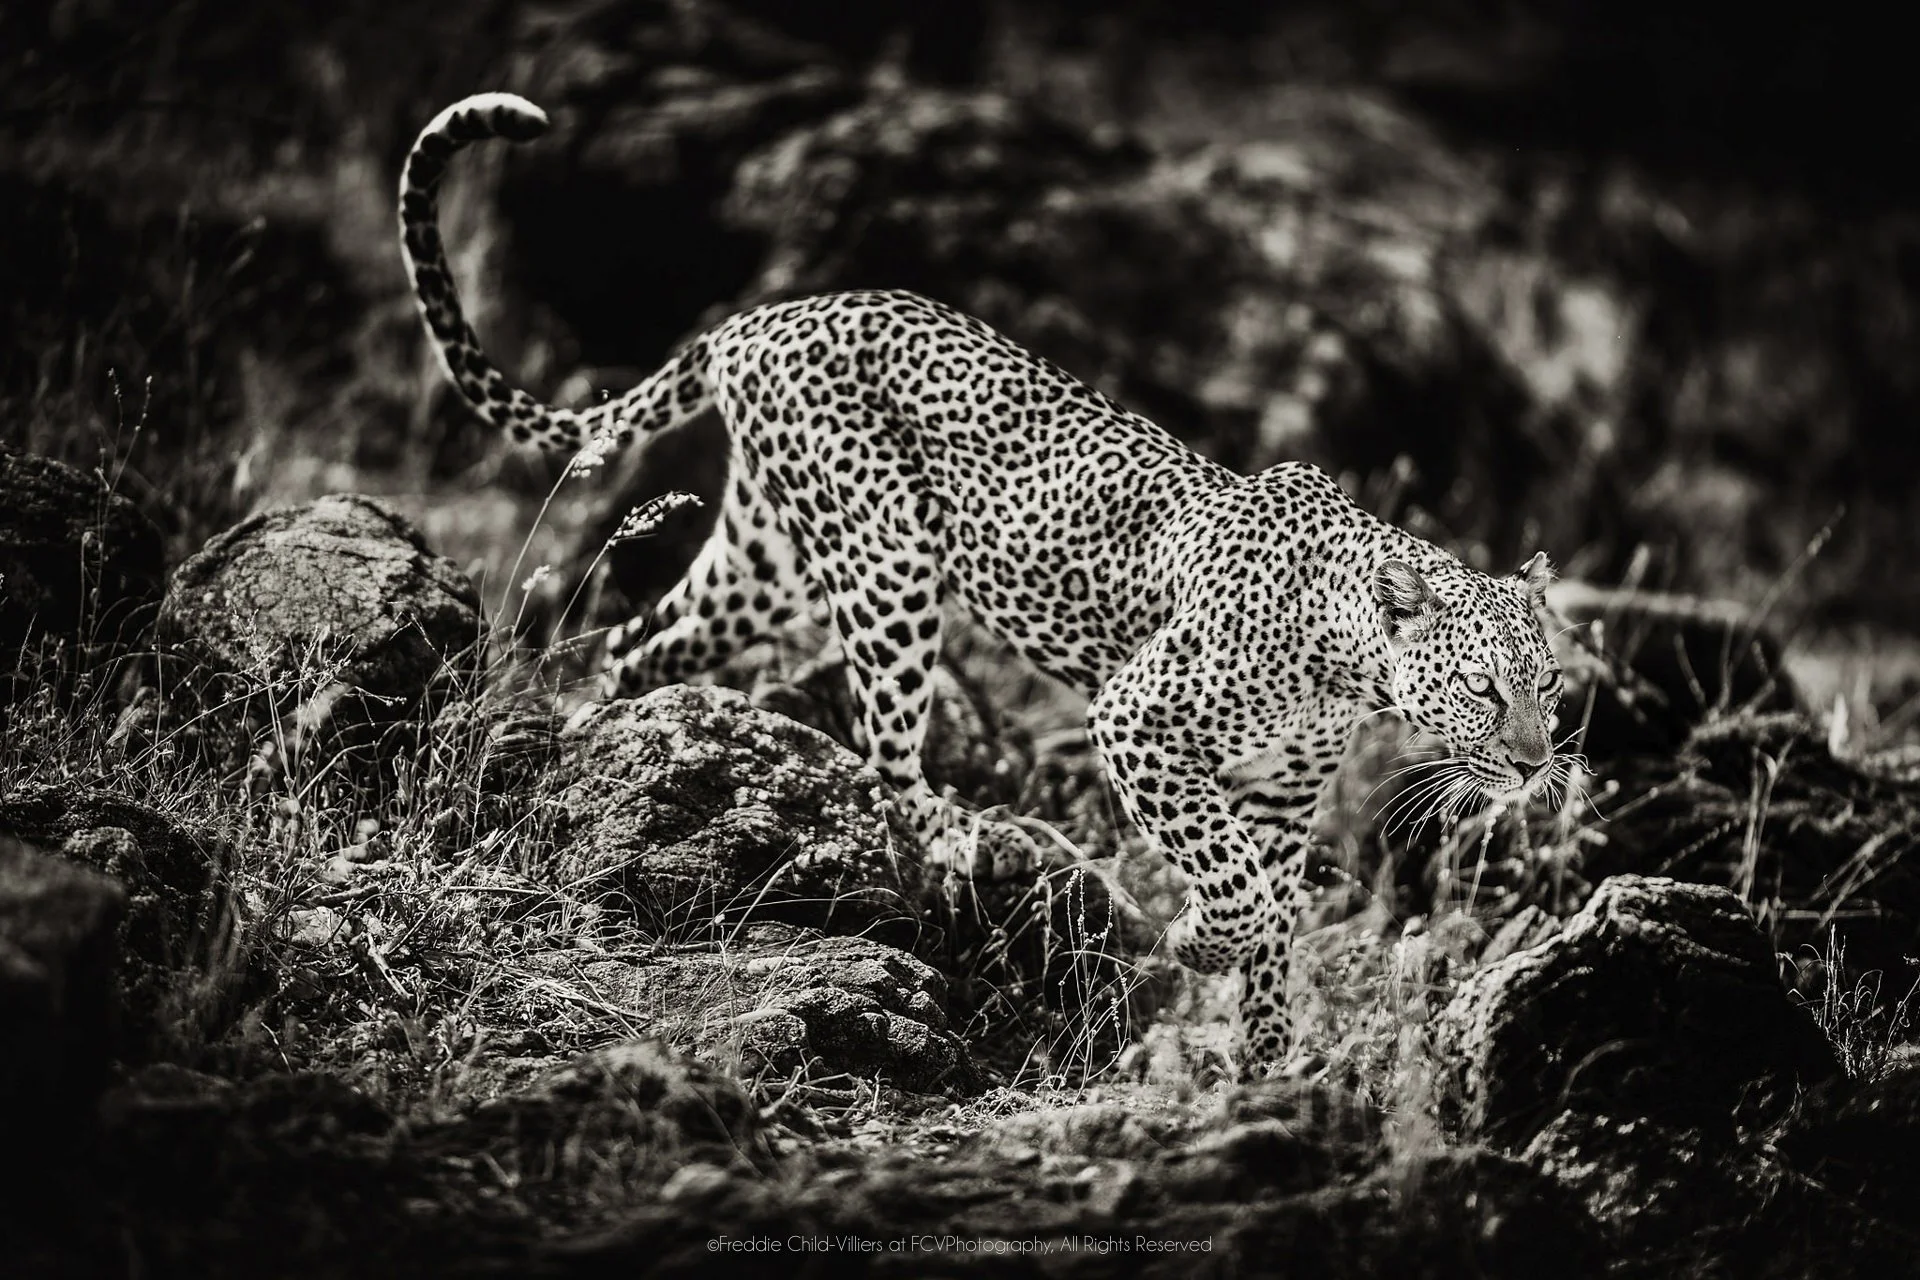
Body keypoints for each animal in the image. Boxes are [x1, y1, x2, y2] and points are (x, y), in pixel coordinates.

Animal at [399, 92, 1570, 1076]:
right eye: (1480, 685)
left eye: (1549, 684)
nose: (1533, 764)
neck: (1346, 664)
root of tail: (757, 318)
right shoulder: (1138, 721)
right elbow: (1234, 885)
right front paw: (1198, 941)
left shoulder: (1281, 799)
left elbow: (1275, 918)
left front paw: (1270, 1055)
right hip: (885, 562)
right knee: (883, 743)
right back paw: (964, 833)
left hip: (767, 557)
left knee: (632, 640)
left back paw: (617, 740)